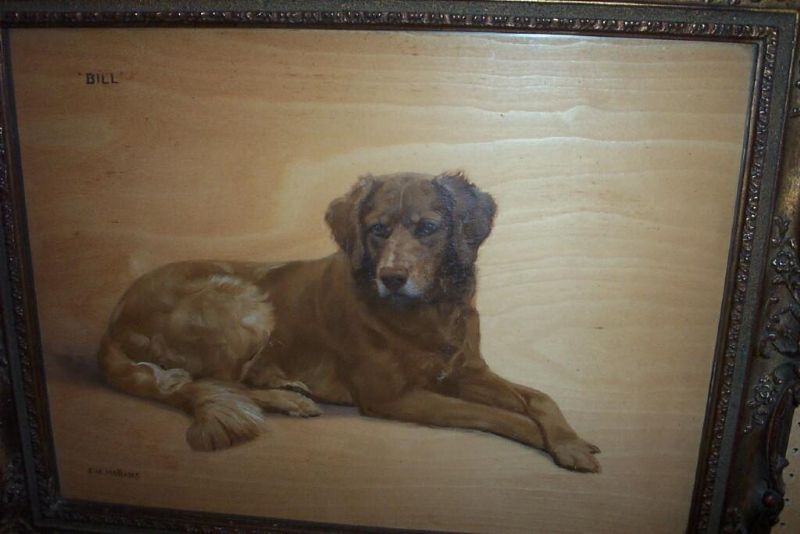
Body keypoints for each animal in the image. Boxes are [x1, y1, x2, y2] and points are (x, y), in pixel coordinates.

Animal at [98, 171, 600, 472]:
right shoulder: (392, 397)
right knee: (211, 381)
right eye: (378, 229)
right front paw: (561, 446)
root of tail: (114, 320)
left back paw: (284, 384)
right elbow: (496, 415)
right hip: (243, 302)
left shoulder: (466, 371)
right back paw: (287, 400)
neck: (429, 313)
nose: (393, 278)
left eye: (427, 228)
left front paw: (569, 438)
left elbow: (539, 397)